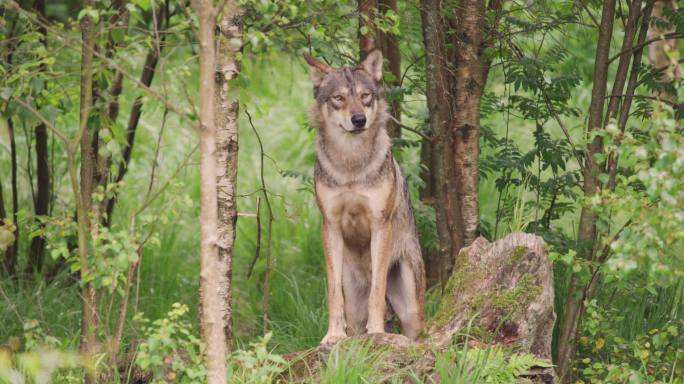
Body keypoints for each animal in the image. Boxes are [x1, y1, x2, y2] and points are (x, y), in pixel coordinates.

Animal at [304, 49, 422, 344]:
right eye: (339, 98)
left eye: (365, 96)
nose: (359, 120)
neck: (351, 166)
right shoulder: (330, 226)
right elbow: (333, 293)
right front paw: (332, 335)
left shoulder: (380, 224)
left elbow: (377, 291)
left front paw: (377, 331)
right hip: (355, 308)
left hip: (412, 312)